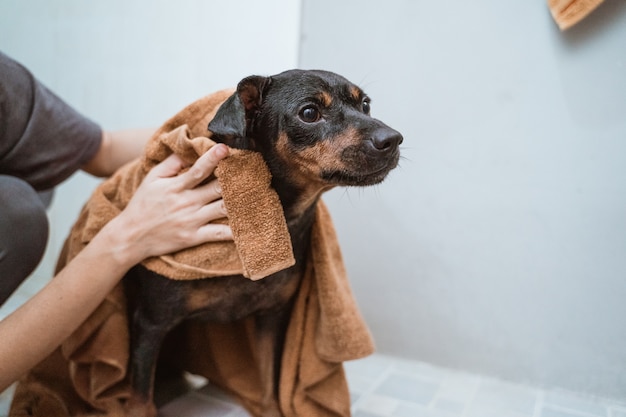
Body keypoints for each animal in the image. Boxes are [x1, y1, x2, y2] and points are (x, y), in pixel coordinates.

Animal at [9, 89, 372, 414]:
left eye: (366, 104)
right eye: (309, 112)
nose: (386, 138)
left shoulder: (271, 319)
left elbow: (269, 387)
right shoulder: (150, 324)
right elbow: (140, 400)